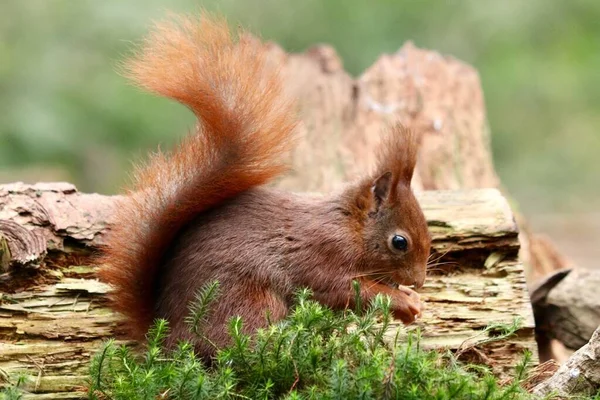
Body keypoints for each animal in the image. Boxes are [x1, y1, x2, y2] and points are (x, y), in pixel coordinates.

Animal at [97, 12, 432, 358]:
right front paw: (404, 301)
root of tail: (165, 336)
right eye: (399, 242)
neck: (350, 227)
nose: (420, 281)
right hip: (249, 303)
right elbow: (344, 290)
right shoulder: (323, 255)